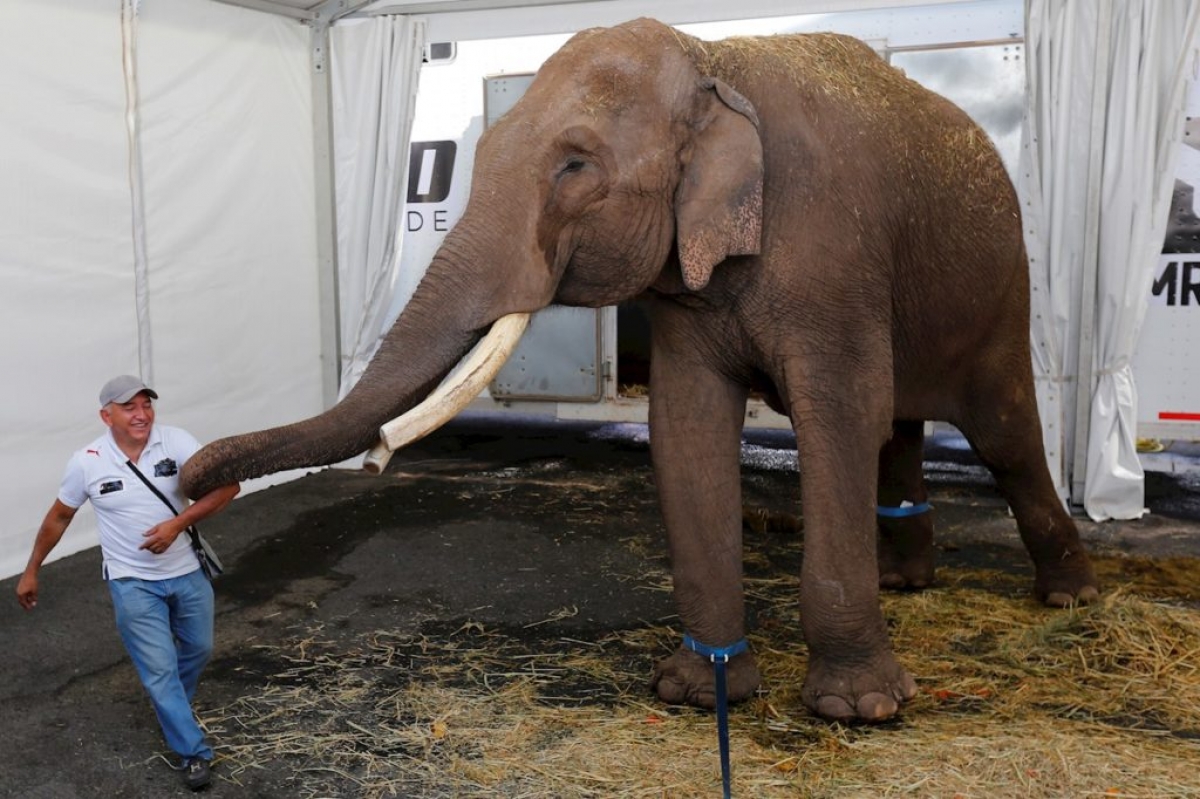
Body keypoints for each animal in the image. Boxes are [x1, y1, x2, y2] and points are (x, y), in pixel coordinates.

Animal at [183, 18, 1100, 723]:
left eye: (575, 166)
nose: (187, 485)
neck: (716, 60)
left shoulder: (829, 253)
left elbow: (837, 418)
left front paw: (860, 709)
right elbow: (687, 427)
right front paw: (701, 691)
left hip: (1002, 292)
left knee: (1004, 434)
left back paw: (1069, 597)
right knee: (900, 429)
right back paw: (908, 582)